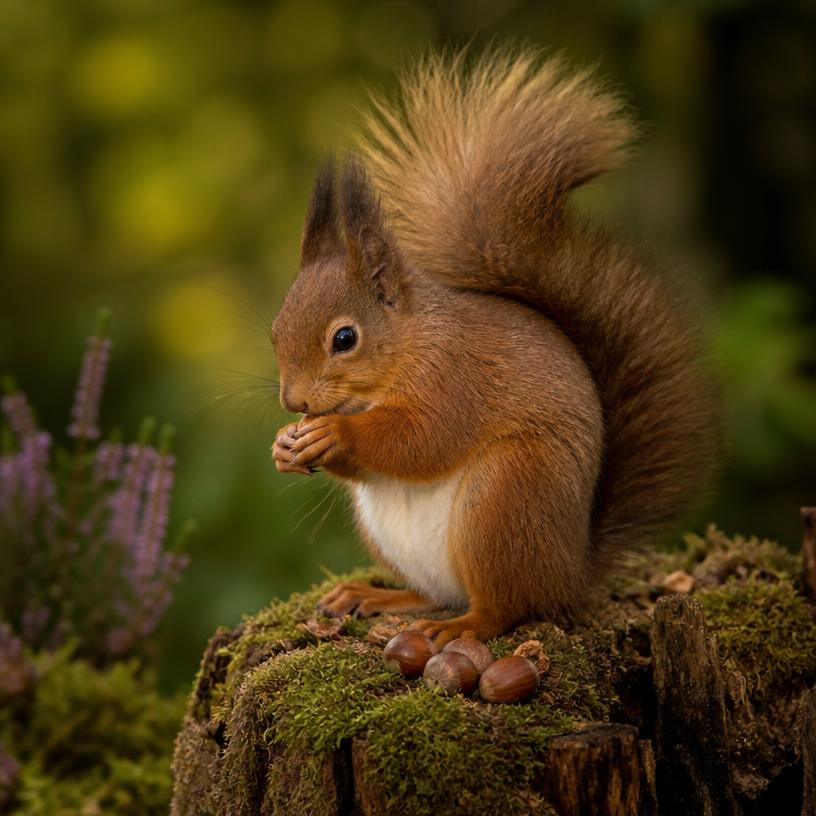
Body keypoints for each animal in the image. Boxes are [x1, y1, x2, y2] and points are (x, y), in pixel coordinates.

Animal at [270, 48, 716, 646]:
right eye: (275, 331)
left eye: (345, 338)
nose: (293, 403)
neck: (409, 344)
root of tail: (571, 574)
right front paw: (283, 445)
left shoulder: (456, 375)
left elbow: (424, 438)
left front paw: (335, 433)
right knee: (437, 593)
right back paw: (377, 594)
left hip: (505, 496)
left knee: (507, 605)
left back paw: (460, 627)